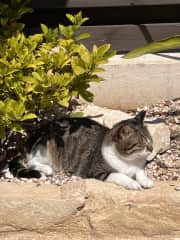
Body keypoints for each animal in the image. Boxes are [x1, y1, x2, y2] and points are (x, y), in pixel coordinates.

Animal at [9, 110, 153, 189]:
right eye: (142, 144)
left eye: (151, 140)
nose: (151, 150)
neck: (128, 161)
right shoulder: (97, 171)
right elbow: (119, 175)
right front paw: (132, 183)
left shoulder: (138, 166)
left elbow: (140, 172)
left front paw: (146, 181)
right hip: (47, 148)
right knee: (31, 162)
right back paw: (47, 169)